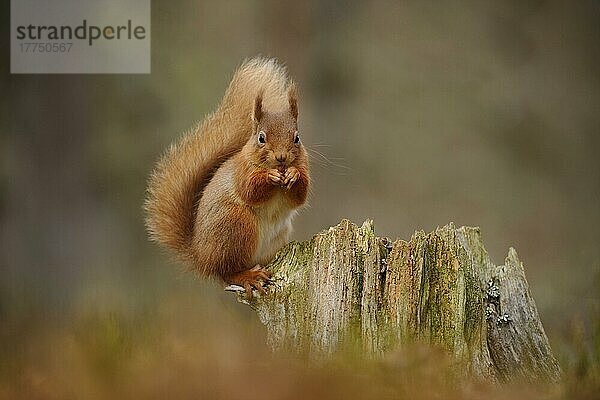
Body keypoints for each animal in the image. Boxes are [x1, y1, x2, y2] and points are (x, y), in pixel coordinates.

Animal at [144, 58, 310, 296]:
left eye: (297, 138)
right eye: (261, 138)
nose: (281, 158)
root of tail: (201, 256)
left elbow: (300, 196)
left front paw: (294, 174)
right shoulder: (242, 172)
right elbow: (250, 190)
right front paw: (269, 176)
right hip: (237, 225)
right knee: (227, 273)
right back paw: (248, 276)